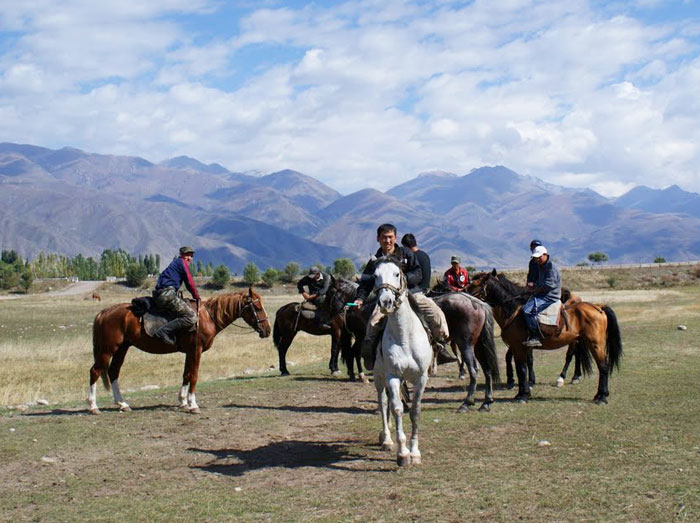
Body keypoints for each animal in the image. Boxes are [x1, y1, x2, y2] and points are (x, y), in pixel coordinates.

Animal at [87, 284, 270, 416]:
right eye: (258, 308)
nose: (267, 330)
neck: (207, 316)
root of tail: (104, 313)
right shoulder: (196, 350)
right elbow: (194, 376)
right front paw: (193, 404)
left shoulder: (190, 351)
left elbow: (186, 374)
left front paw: (183, 401)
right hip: (107, 350)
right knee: (95, 371)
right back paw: (93, 406)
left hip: (121, 349)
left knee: (113, 372)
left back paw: (122, 404)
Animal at [372, 258, 432, 466]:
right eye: (375, 275)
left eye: (397, 273)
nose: (385, 302)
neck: (405, 336)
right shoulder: (393, 376)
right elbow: (397, 409)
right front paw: (403, 453)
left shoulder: (421, 377)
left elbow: (415, 411)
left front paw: (415, 452)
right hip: (379, 377)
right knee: (383, 403)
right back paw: (387, 439)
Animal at [468, 270, 620, 406]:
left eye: (474, 284)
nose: (464, 295)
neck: (513, 310)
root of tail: (599, 308)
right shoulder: (519, 347)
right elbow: (521, 367)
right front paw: (521, 392)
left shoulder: (519, 346)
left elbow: (522, 369)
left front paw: (523, 395)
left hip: (595, 343)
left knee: (602, 366)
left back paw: (601, 396)